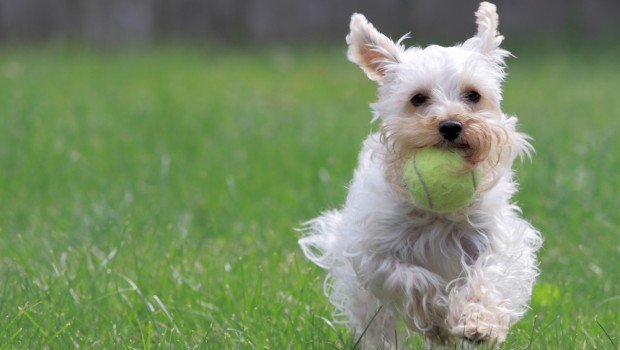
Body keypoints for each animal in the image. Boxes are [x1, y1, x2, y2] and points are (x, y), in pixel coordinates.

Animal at [300, 2, 544, 348]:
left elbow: (489, 274)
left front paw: (478, 321)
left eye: (473, 95)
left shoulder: (494, 238)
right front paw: (440, 317)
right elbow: (411, 279)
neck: (439, 216)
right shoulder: (375, 253)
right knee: (377, 327)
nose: (451, 125)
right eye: (418, 98)